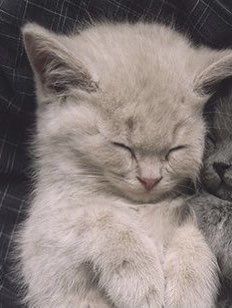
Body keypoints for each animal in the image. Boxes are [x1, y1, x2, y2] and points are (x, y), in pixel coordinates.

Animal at [15, 22, 232, 308]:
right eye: (122, 147)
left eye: (175, 150)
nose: (149, 180)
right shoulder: (43, 240)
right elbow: (100, 218)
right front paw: (140, 279)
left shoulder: (190, 208)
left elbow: (193, 234)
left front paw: (188, 288)